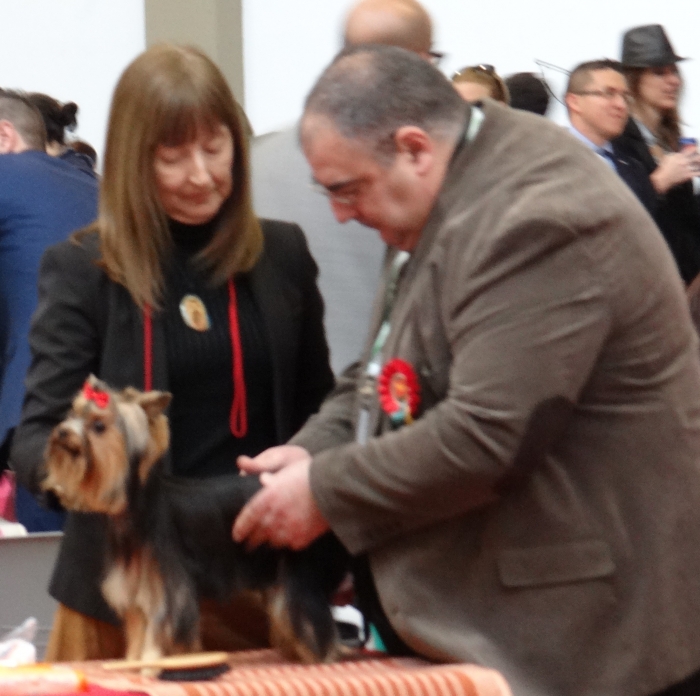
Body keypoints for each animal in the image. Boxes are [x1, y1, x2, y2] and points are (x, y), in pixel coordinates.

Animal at [42, 375, 350, 664]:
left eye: (98, 426)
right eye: (72, 414)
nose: (62, 432)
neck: (139, 512)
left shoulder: (168, 587)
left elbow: (161, 629)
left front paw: (153, 663)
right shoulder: (137, 590)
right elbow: (140, 631)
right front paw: (134, 661)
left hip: (295, 565)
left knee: (306, 611)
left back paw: (322, 655)